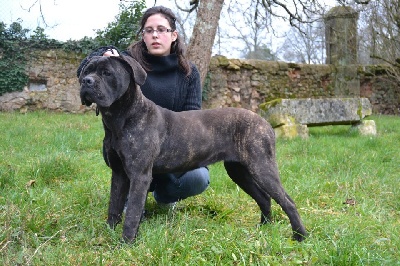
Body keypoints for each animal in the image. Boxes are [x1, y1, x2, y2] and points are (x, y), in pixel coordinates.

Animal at [79, 55, 308, 242]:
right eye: (85, 71)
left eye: (107, 73)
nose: (86, 81)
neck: (120, 118)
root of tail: (264, 122)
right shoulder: (119, 174)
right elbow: (114, 206)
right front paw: (108, 234)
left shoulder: (139, 176)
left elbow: (132, 213)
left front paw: (126, 243)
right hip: (239, 171)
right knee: (264, 198)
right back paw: (264, 229)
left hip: (262, 167)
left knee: (287, 201)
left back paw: (300, 236)